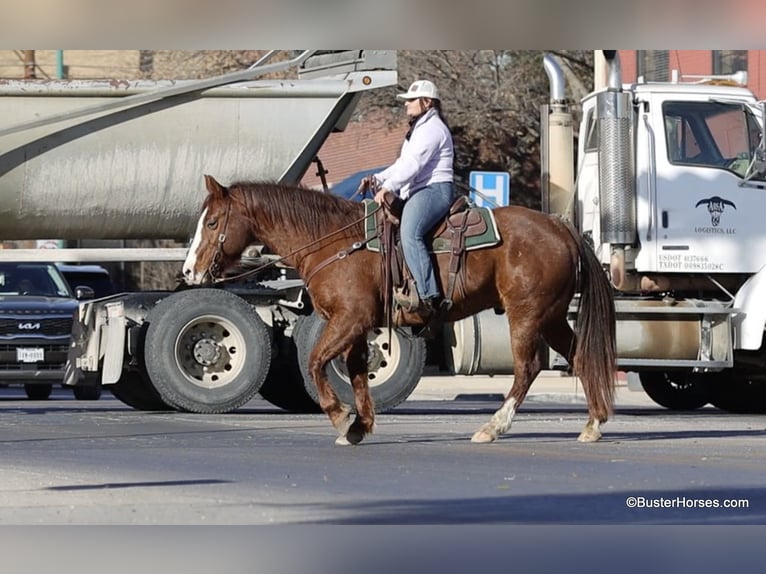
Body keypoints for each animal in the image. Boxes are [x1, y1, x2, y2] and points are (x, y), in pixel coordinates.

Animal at [182, 175, 617, 446]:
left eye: (214, 222)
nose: (188, 271)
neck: (334, 241)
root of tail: (561, 227)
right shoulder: (358, 326)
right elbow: (357, 372)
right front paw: (359, 426)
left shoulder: (348, 319)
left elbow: (316, 362)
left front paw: (339, 416)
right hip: (553, 315)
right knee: (580, 356)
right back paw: (593, 424)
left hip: (526, 314)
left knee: (528, 367)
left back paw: (492, 427)